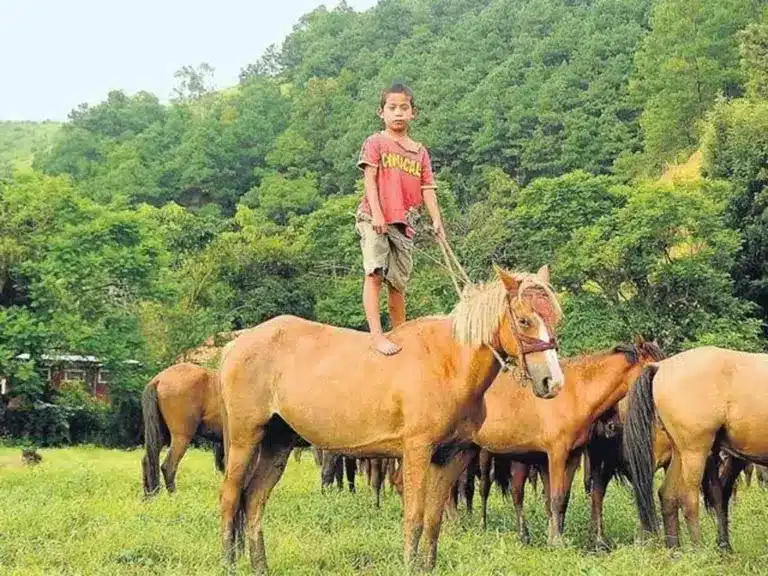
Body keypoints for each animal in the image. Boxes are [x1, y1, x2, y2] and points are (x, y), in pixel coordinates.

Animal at [217, 265, 564, 572]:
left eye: (555, 318)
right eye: (524, 320)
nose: (553, 383)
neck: (448, 363)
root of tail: (236, 343)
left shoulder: (452, 455)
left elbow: (434, 520)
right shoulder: (417, 451)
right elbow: (414, 517)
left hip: (278, 443)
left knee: (253, 501)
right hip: (245, 438)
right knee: (231, 497)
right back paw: (229, 563)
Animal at [470, 340, 665, 544]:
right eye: (654, 368)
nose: (612, 427)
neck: (575, 393)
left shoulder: (574, 455)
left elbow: (563, 498)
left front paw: (555, 536)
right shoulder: (556, 454)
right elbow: (555, 498)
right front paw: (557, 542)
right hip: (484, 454)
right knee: (483, 488)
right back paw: (481, 525)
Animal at [623, 346, 768, 551]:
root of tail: (661, 367)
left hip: (680, 453)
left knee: (667, 495)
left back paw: (674, 549)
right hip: (694, 452)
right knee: (688, 499)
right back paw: (699, 549)